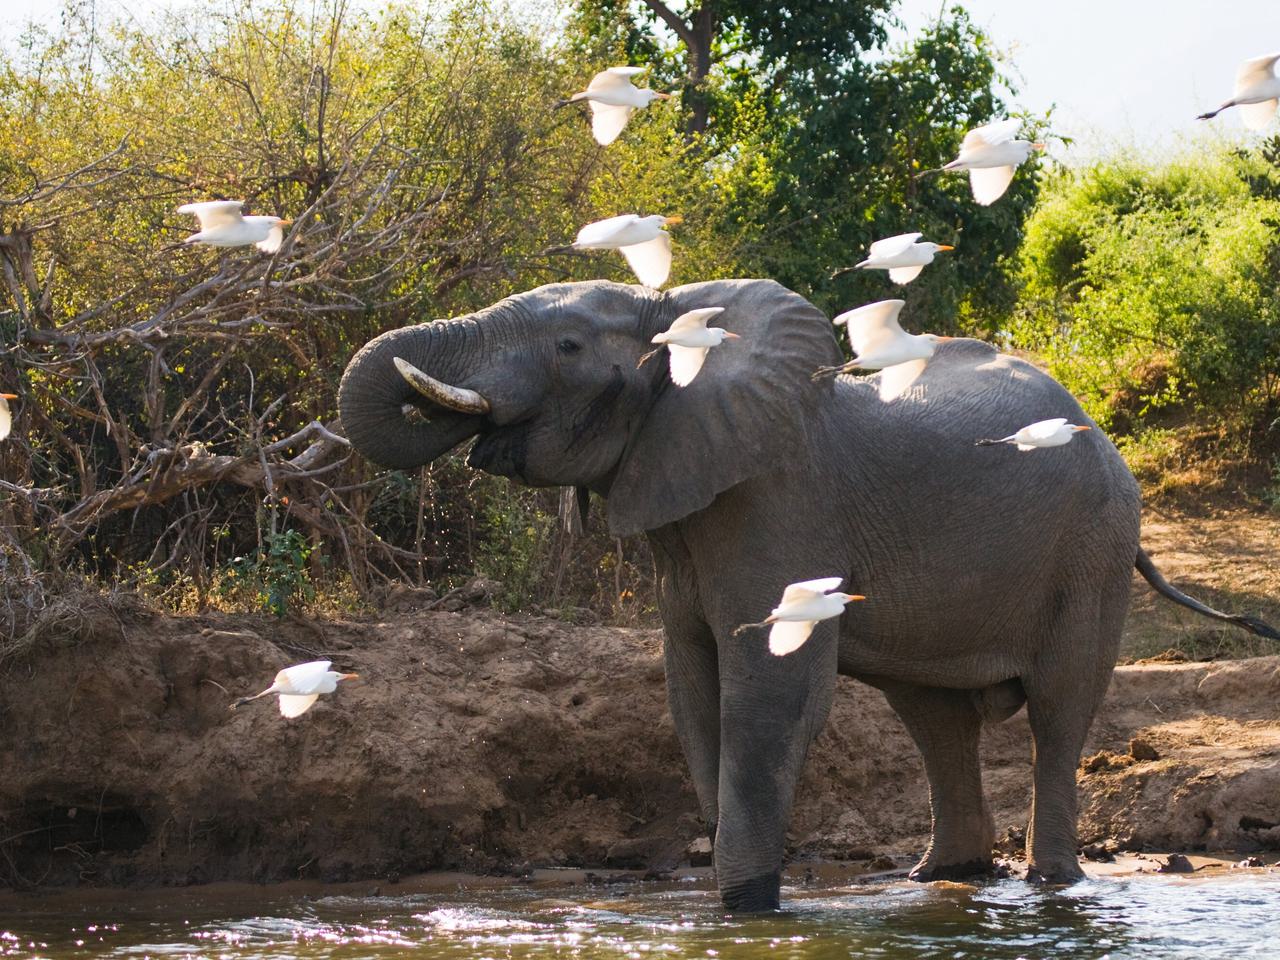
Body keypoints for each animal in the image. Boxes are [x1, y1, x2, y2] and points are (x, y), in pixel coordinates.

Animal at [338, 278, 1278, 911]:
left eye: (567, 347)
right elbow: (693, 696)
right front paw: (733, 892)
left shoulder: (777, 504)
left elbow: (769, 696)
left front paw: (748, 906)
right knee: (934, 719)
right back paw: (942, 876)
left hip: (1093, 544)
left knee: (1056, 710)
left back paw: (1050, 882)